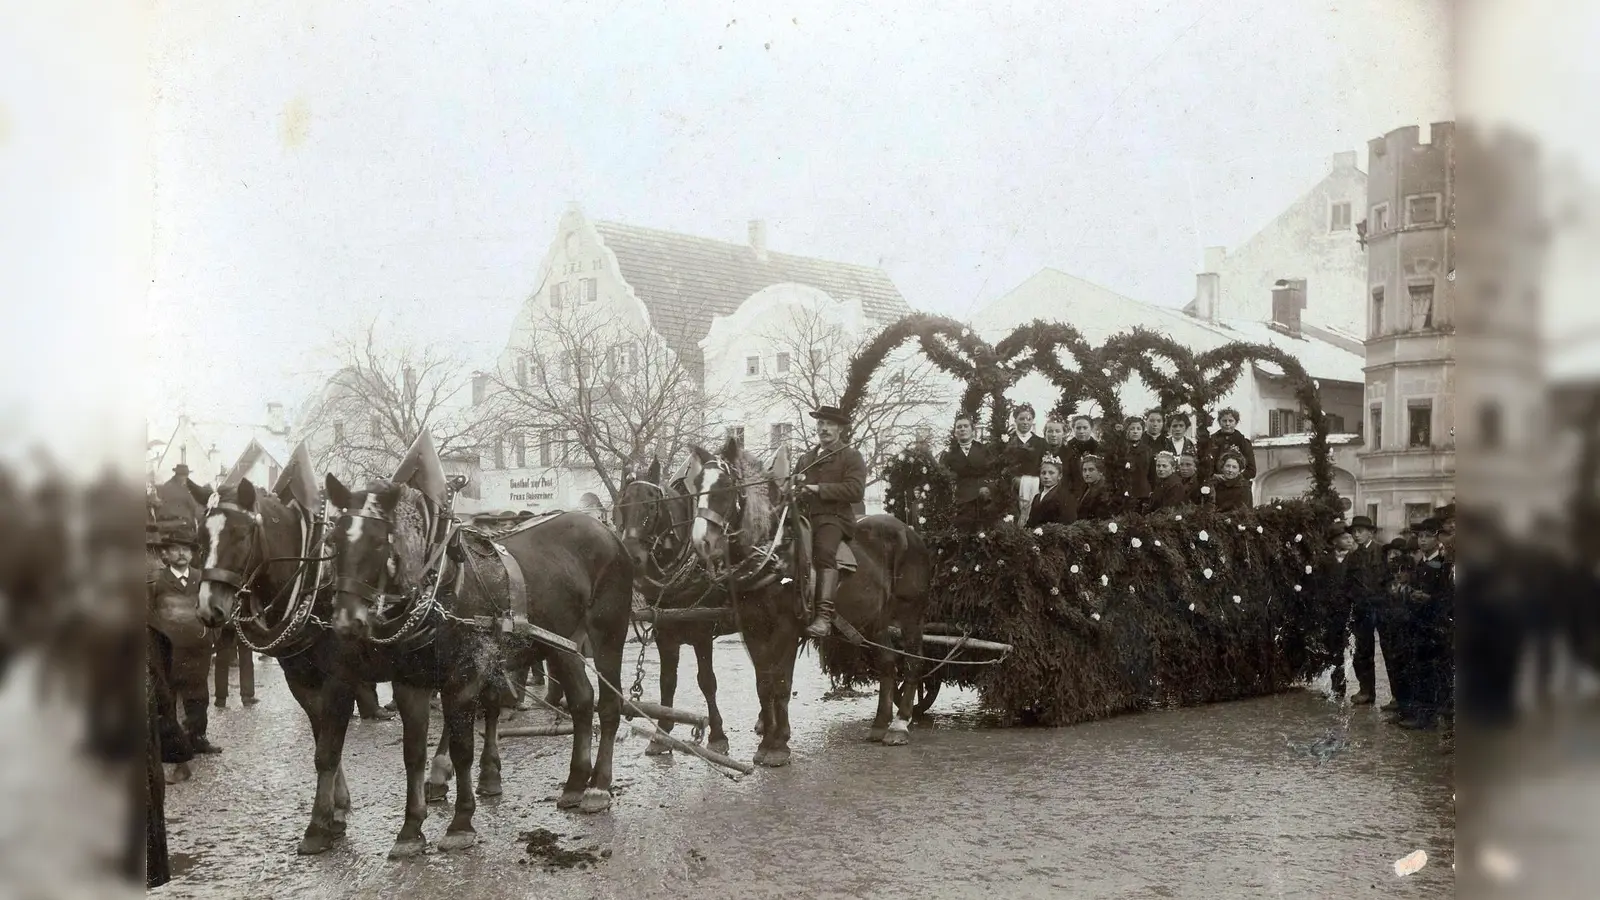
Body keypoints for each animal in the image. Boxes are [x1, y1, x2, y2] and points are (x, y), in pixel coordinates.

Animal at [324, 474, 630, 851]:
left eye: (380, 542)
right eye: (334, 540)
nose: (346, 622)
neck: (440, 586)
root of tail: (607, 531)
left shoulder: (465, 679)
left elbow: (462, 749)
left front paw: (461, 821)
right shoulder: (410, 683)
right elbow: (413, 753)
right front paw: (411, 828)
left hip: (608, 633)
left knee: (610, 705)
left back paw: (598, 785)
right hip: (562, 643)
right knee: (583, 702)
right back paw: (575, 782)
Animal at [614, 458, 732, 752]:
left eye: (651, 504)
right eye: (622, 504)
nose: (632, 557)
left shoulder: (702, 631)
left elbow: (707, 681)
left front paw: (717, 736)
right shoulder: (664, 631)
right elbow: (667, 681)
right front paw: (661, 733)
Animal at [681, 435, 934, 762]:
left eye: (726, 486)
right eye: (698, 484)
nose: (702, 541)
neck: (772, 552)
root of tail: (909, 531)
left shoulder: (788, 628)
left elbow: (780, 682)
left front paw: (777, 746)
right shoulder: (752, 628)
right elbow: (763, 682)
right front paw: (768, 742)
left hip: (910, 615)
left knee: (914, 662)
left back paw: (900, 725)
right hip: (875, 620)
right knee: (888, 662)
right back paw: (880, 724)